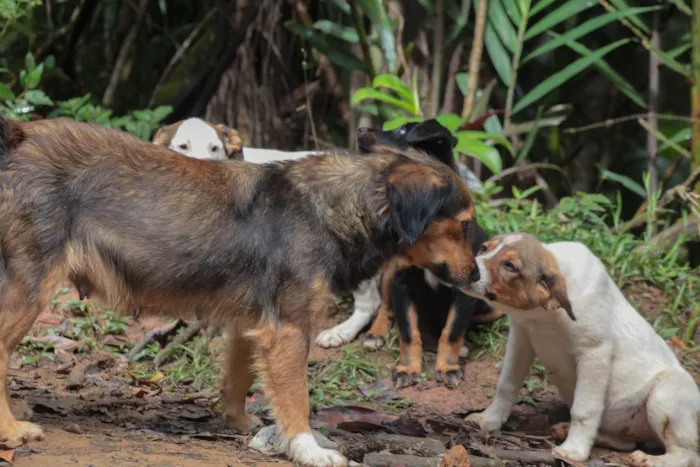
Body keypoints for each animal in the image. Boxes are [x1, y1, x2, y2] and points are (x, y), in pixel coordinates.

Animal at [0, 117, 476, 467]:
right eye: (465, 225)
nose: (475, 277)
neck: (336, 205)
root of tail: (19, 136)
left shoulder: (253, 324)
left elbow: (240, 378)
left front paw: (239, 422)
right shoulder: (289, 328)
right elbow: (297, 398)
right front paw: (308, 448)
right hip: (31, 288)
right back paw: (11, 431)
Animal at [352, 119, 500, 388]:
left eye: (401, 130)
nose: (360, 129)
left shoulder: (464, 287)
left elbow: (452, 331)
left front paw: (448, 366)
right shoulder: (402, 282)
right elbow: (409, 332)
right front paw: (408, 368)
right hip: (389, 274)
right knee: (385, 306)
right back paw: (375, 333)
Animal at [464, 234, 700, 467]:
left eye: (510, 266)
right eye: (483, 248)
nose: (465, 271)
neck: (542, 314)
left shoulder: (594, 352)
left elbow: (584, 410)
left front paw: (573, 451)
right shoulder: (520, 337)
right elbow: (506, 385)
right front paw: (489, 419)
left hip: (665, 392)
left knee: (688, 454)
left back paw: (650, 460)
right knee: (626, 443)